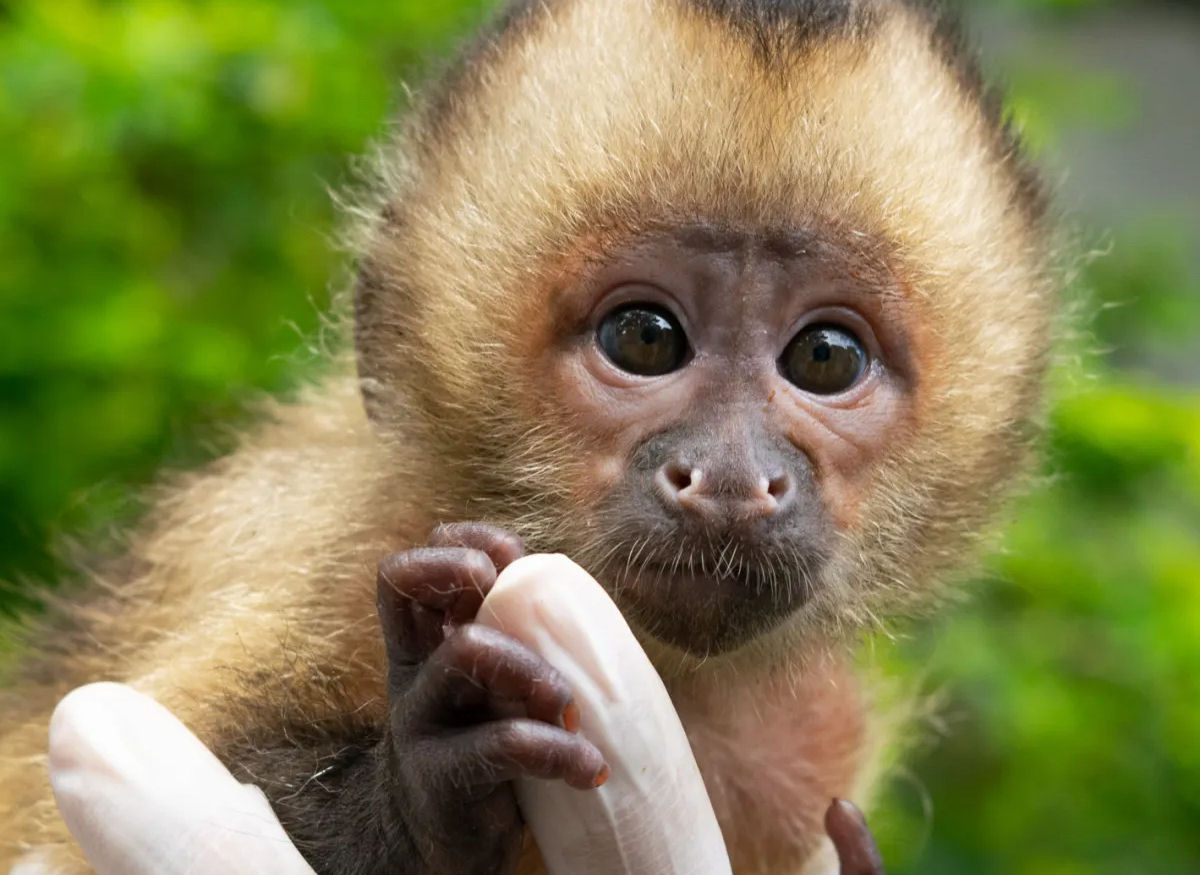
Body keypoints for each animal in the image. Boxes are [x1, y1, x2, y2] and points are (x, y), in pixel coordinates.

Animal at [0, 0, 1058, 872]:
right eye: (644, 337)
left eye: (827, 357)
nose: (727, 477)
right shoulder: (327, 548)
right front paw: (427, 779)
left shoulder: (808, 740)